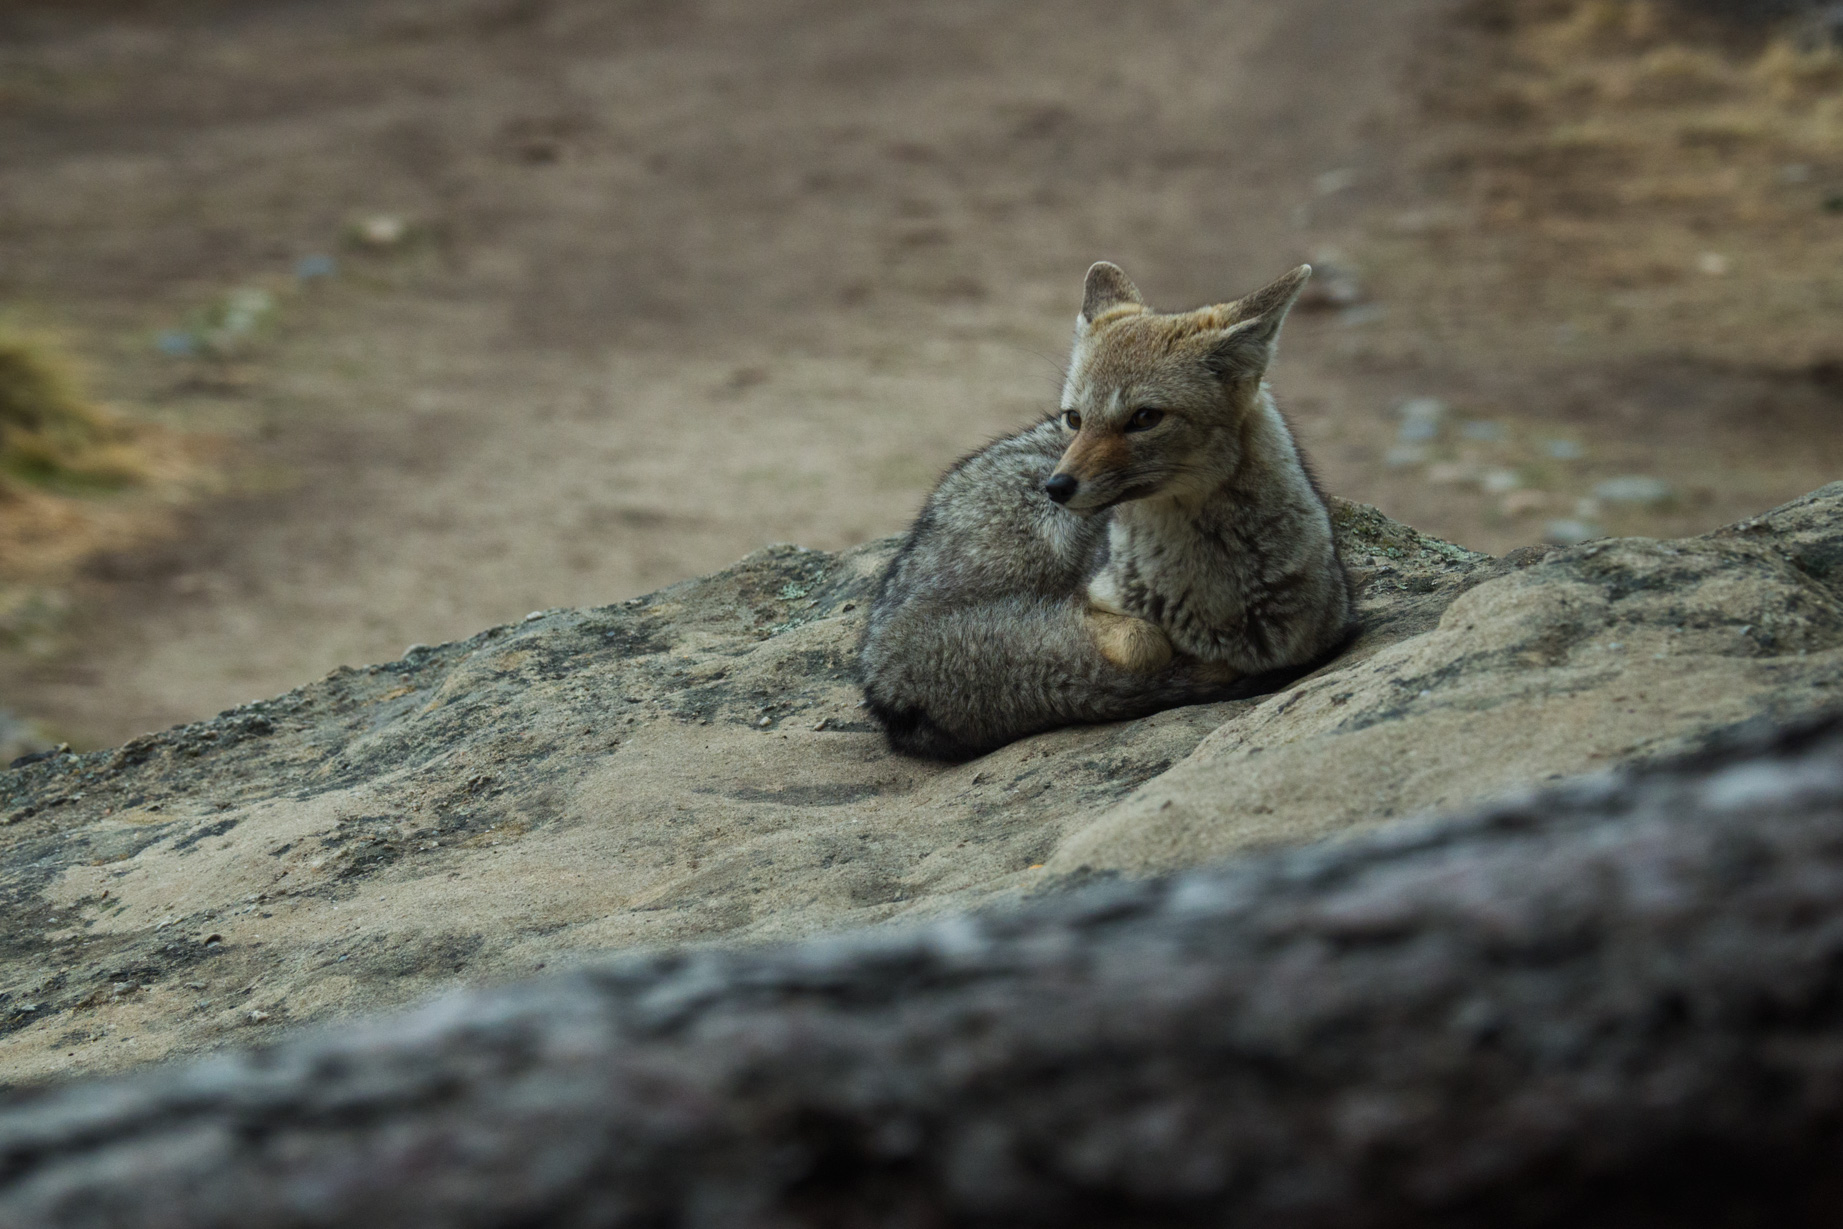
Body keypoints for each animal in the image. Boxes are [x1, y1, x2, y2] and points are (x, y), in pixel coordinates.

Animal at [858, 261, 1354, 760]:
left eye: (1145, 418)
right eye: (1075, 418)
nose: (1056, 486)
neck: (1211, 591)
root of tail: (879, 658)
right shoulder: (1090, 597)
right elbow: (1141, 642)